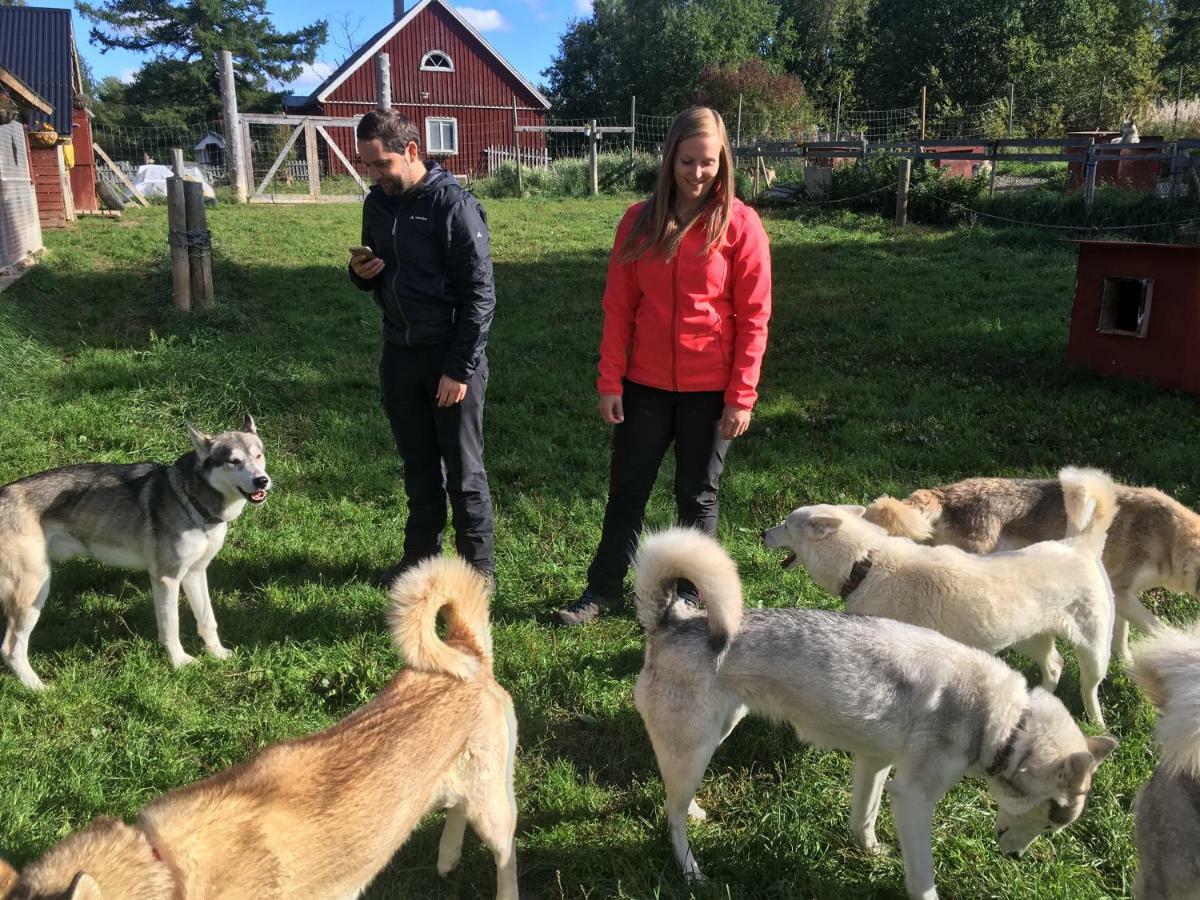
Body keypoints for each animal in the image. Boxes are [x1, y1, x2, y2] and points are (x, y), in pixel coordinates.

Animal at [0, 417, 271, 691]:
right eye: (233, 461)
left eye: (259, 455)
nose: (262, 481)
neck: (191, 499)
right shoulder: (166, 579)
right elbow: (171, 627)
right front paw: (180, 662)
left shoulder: (195, 573)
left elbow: (207, 619)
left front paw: (217, 653)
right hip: (34, 589)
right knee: (10, 648)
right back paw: (39, 689)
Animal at [633, 528, 1118, 900]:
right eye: (1052, 820)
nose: (1014, 858)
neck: (1004, 720)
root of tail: (672, 620)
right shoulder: (914, 799)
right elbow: (922, 878)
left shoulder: (874, 763)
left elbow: (863, 818)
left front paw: (868, 852)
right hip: (696, 745)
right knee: (671, 815)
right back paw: (692, 872)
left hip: (713, 734)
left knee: (675, 796)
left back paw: (695, 810)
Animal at [763, 468, 1118, 729]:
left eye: (786, 524)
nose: (762, 533)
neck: (865, 564)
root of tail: (1077, 545)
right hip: (1027, 637)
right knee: (1055, 666)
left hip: (1093, 649)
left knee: (1088, 686)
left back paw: (1096, 722)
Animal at [868, 472, 1195, 662]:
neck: (1168, 536)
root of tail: (944, 492)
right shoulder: (1122, 591)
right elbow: (1155, 626)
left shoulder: (1123, 595)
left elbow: (1122, 636)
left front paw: (1126, 662)